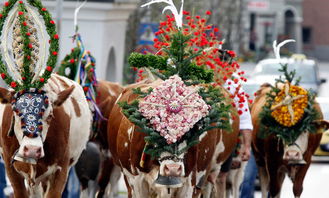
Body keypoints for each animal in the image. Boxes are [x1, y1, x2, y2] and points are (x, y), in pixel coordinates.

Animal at [107, 79, 238, 197]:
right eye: (155, 127)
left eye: (191, 130)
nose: (173, 169)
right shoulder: (137, 181)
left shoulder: (190, 182)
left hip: (211, 171)